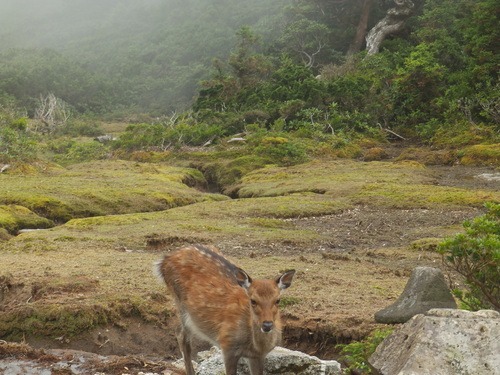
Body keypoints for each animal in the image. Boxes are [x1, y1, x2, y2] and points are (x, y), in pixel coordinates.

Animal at [156, 245, 294, 374]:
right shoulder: (227, 345)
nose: (267, 325)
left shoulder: (258, 356)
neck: (255, 346)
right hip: (179, 302)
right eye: (253, 300)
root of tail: (164, 260)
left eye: (278, 300)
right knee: (181, 335)